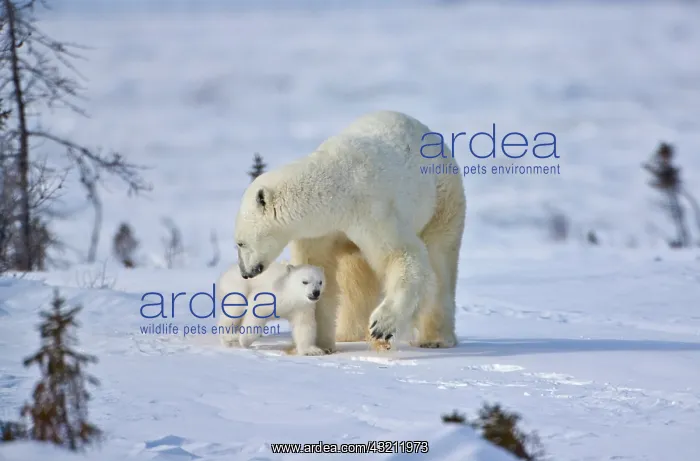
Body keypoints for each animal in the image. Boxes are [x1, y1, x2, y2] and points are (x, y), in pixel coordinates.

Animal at [233, 110, 466, 353]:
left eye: (240, 243)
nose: (245, 272)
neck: (336, 189)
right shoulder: (321, 231)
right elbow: (320, 268)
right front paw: (320, 344)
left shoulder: (371, 210)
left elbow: (401, 254)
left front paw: (381, 326)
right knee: (355, 278)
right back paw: (347, 334)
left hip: (442, 198)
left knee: (440, 260)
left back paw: (435, 338)